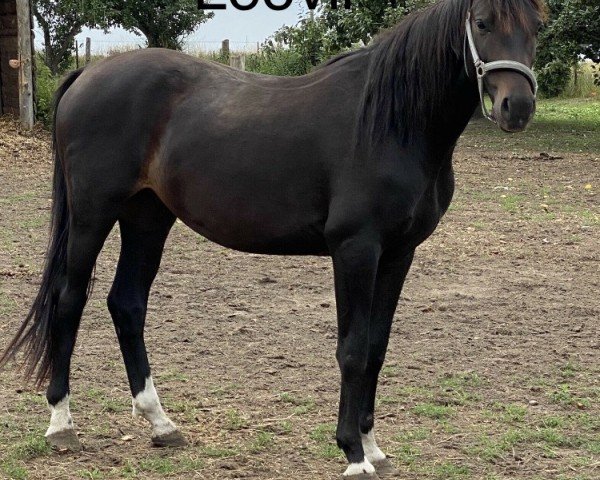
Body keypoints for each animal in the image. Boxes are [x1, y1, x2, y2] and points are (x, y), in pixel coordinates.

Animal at [1, 0, 544, 476]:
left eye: (537, 25)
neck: (390, 122)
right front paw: (353, 454)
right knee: (70, 300)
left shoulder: (398, 254)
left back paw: (161, 422)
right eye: (482, 22)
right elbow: (352, 349)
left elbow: (377, 347)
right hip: (93, 216)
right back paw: (61, 425)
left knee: (127, 303)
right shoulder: (355, 249)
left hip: (148, 219)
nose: (516, 106)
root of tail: (88, 75)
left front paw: (373, 446)